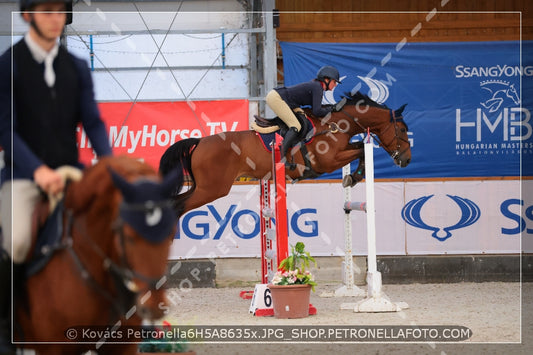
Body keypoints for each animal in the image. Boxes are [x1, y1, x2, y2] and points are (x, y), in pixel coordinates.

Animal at [160, 92, 410, 216]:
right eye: (402, 129)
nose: (406, 160)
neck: (337, 124)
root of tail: (200, 141)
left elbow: (359, 150)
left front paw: (352, 177)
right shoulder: (328, 161)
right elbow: (360, 152)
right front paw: (354, 176)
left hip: (202, 187)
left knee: (174, 203)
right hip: (212, 189)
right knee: (179, 207)